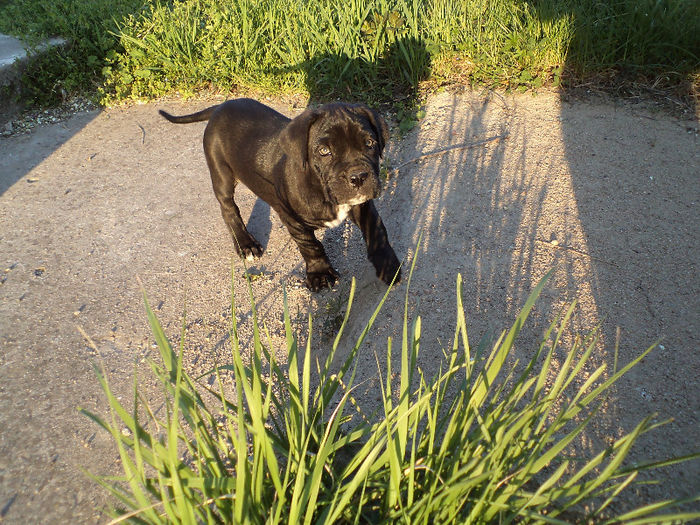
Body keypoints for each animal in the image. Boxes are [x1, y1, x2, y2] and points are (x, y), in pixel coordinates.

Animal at [159, 97, 400, 290]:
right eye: (324, 151)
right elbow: (310, 245)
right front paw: (320, 273)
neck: (320, 188)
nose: (358, 177)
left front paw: (387, 264)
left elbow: (376, 229)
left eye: (369, 143)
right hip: (221, 173)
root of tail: (220, 107)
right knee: (228, 208)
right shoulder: (291, 218)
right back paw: (245, 244)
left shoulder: (362, 205)